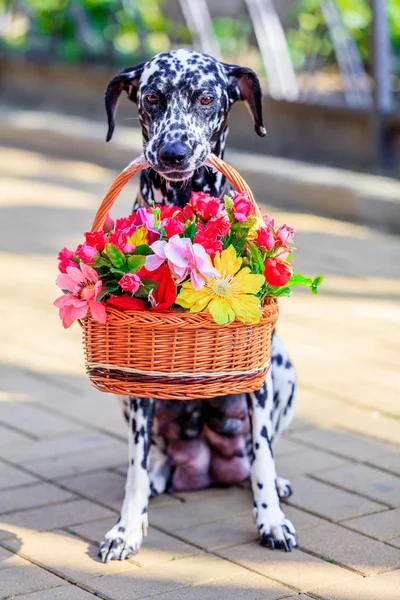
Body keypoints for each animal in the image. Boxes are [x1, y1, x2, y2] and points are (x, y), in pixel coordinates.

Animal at [97, 48, 296, 564]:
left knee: (256, 458)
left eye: (206, 97)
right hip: (128, 399)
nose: (172, 152)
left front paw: (271, 521)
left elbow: (264, 457)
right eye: (152, 96)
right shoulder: (140, 382)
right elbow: (134, 469)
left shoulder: (258, 380)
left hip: (283, 369)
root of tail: (208, 463)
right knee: (156, 461)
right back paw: (160, 478)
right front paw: (126, 529)